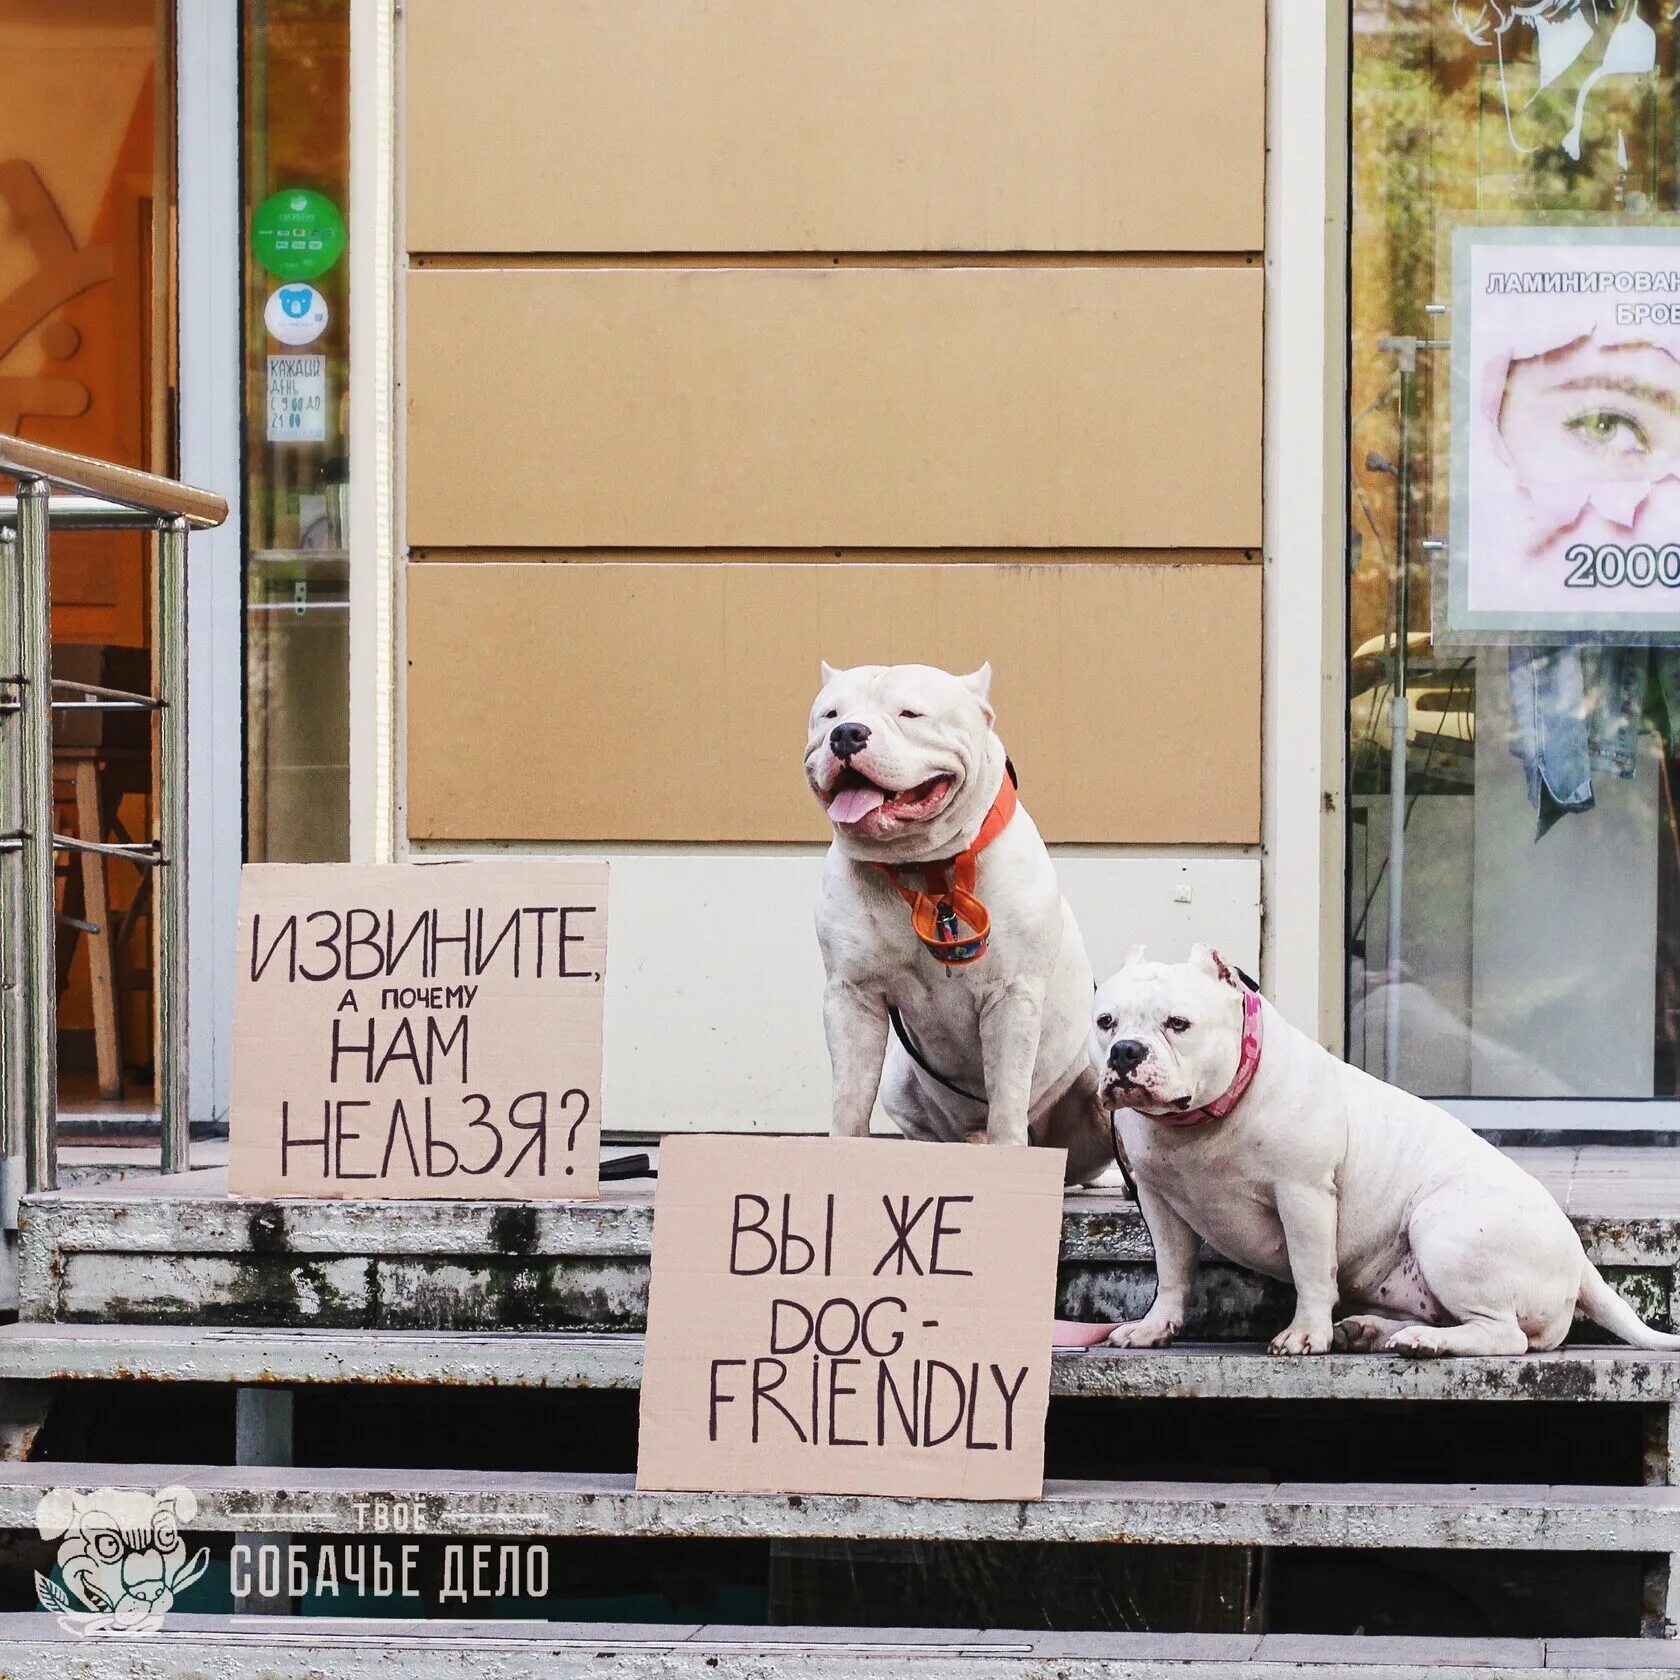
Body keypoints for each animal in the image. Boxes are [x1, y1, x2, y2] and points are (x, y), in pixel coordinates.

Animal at [806, 655, 1108, 1182]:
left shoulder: (1011, 998)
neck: (924, 870)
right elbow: (849, 1099)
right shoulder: (852, 996)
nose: (846, 734)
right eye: (829, 715)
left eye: (910, 714)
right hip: (901, 1082)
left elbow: (1006, 1099)